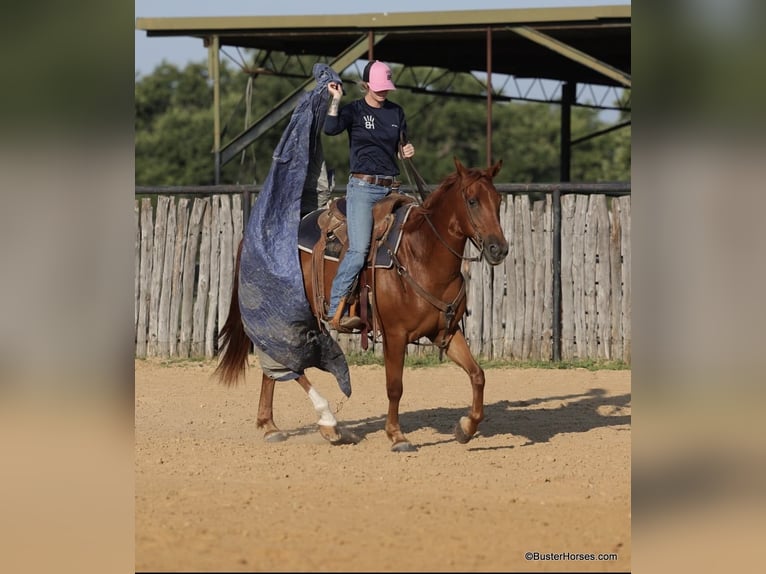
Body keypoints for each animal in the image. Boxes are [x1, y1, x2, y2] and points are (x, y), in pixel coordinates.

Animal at [215, 157, 508, 451]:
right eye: (472, 200)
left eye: (498, 200)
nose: (499, 249)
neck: (420, 256)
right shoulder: (395, 335)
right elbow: (395, 386)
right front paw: (397, 436)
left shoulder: (445, 333)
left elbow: (478, 374)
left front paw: (466, 427)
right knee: (290, 364)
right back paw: (329, 423)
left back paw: (270, 426)